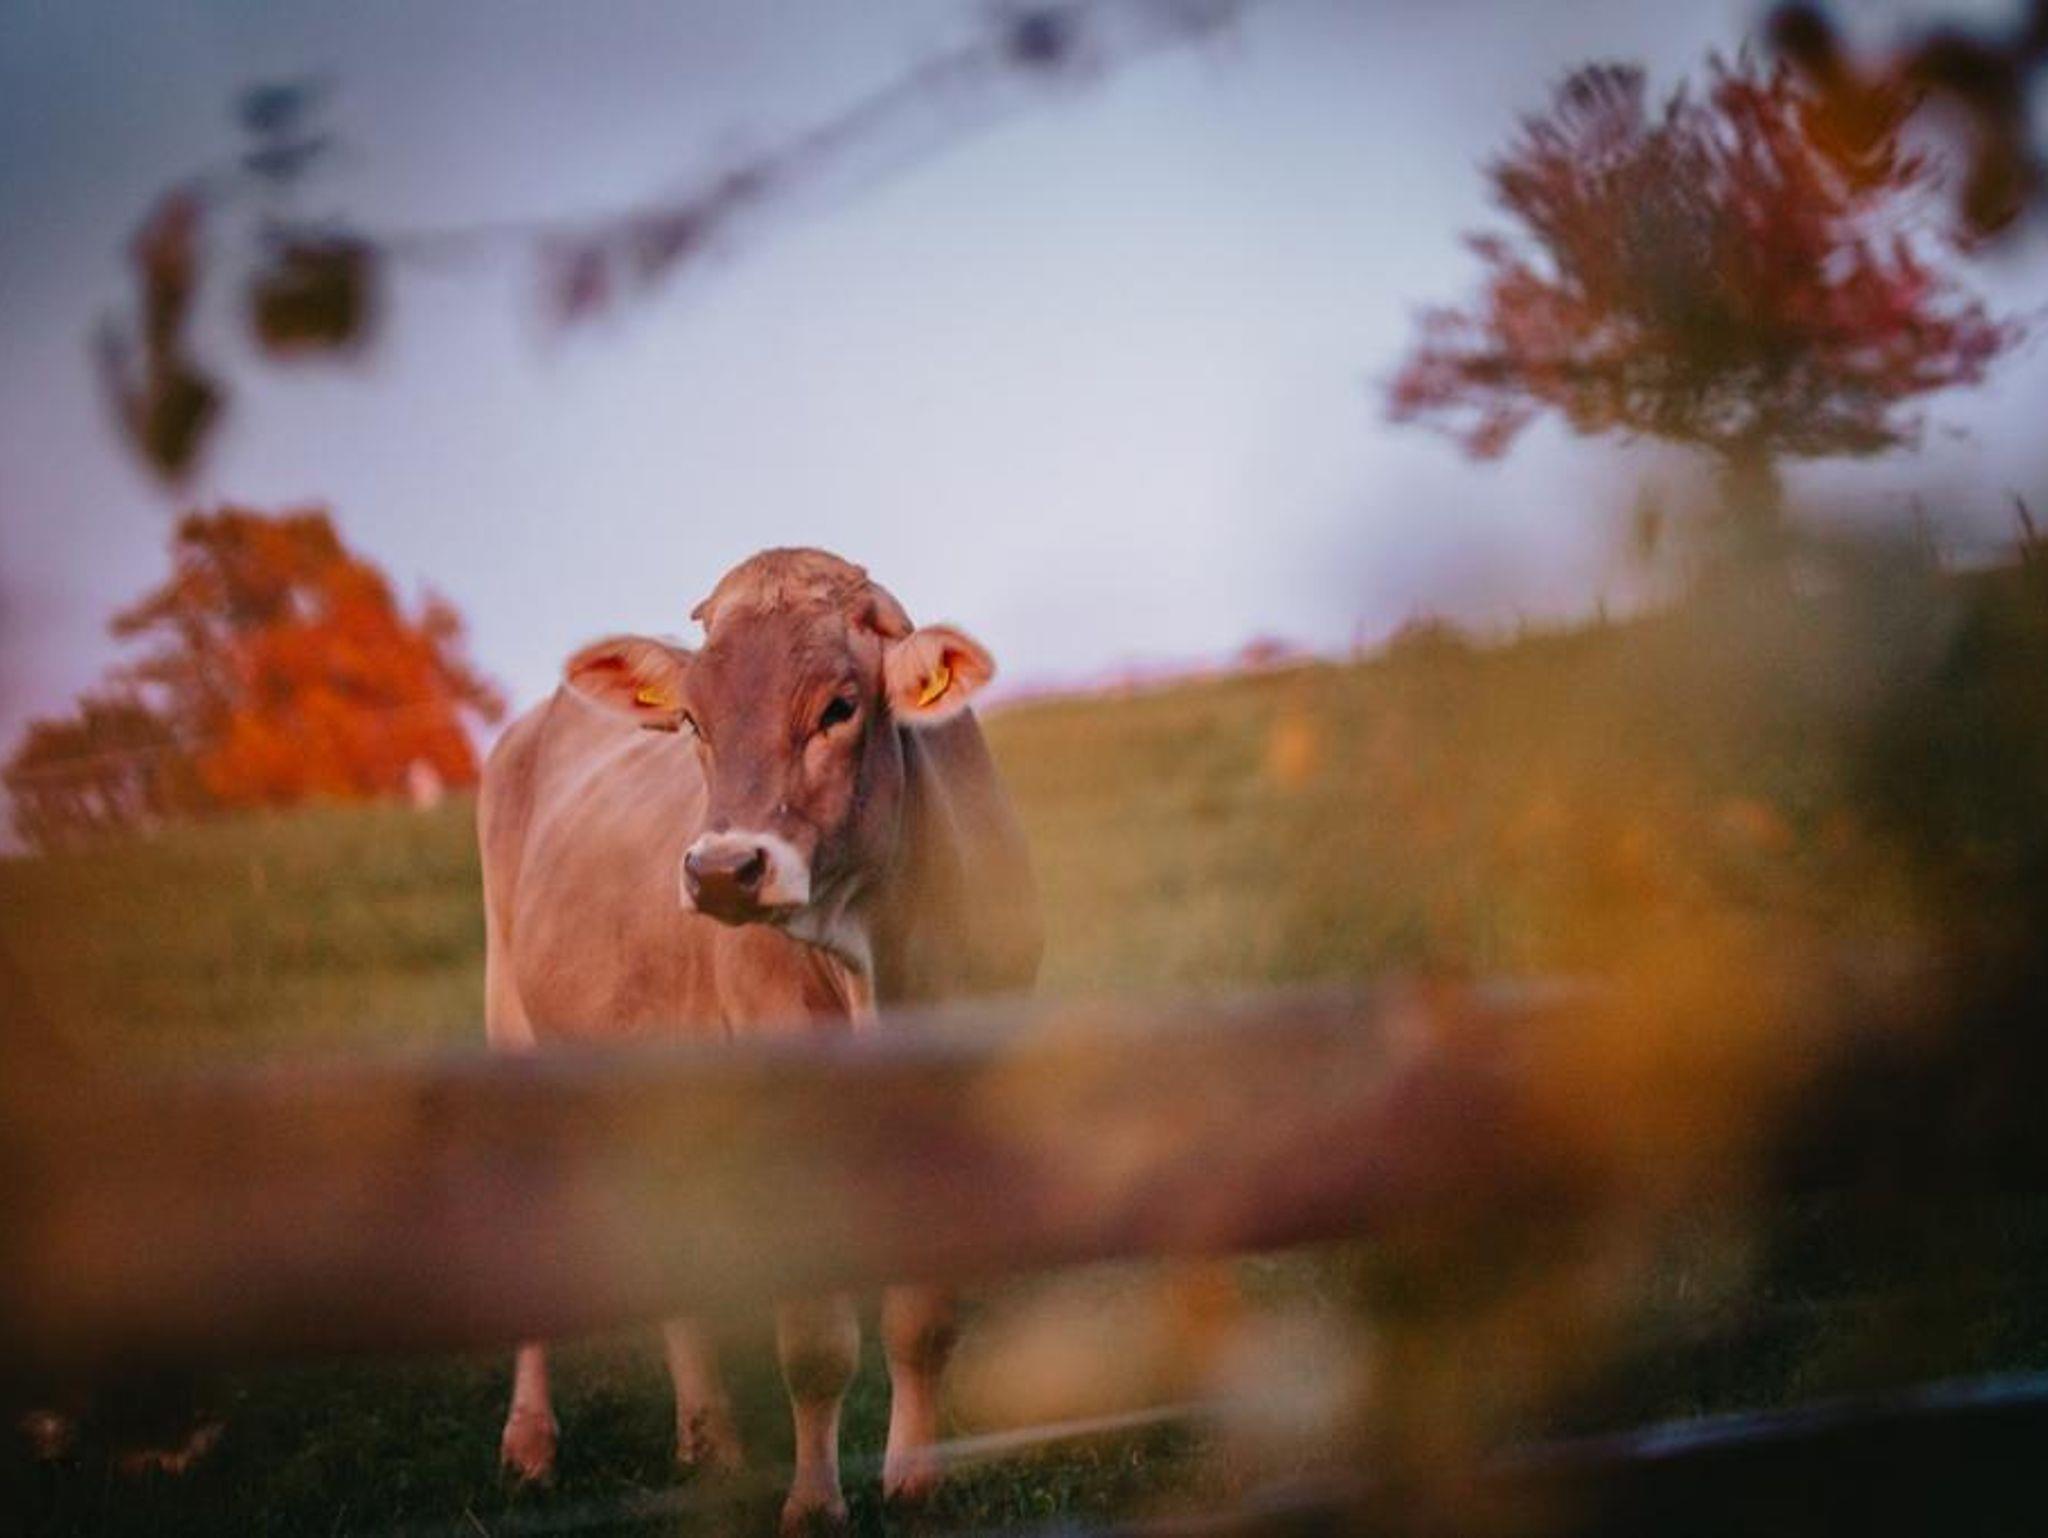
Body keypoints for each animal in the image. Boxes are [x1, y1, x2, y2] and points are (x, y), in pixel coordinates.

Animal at [476, 548, 1041, 1530]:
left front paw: (917, 1479)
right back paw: (532, 1442)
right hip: (513, 1026)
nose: (719, 870)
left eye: (839, 708)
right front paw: (814, 1504)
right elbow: (815, 1343)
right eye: (692, 720)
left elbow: (922, 1322)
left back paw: (708, 1440)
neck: (875, 965)